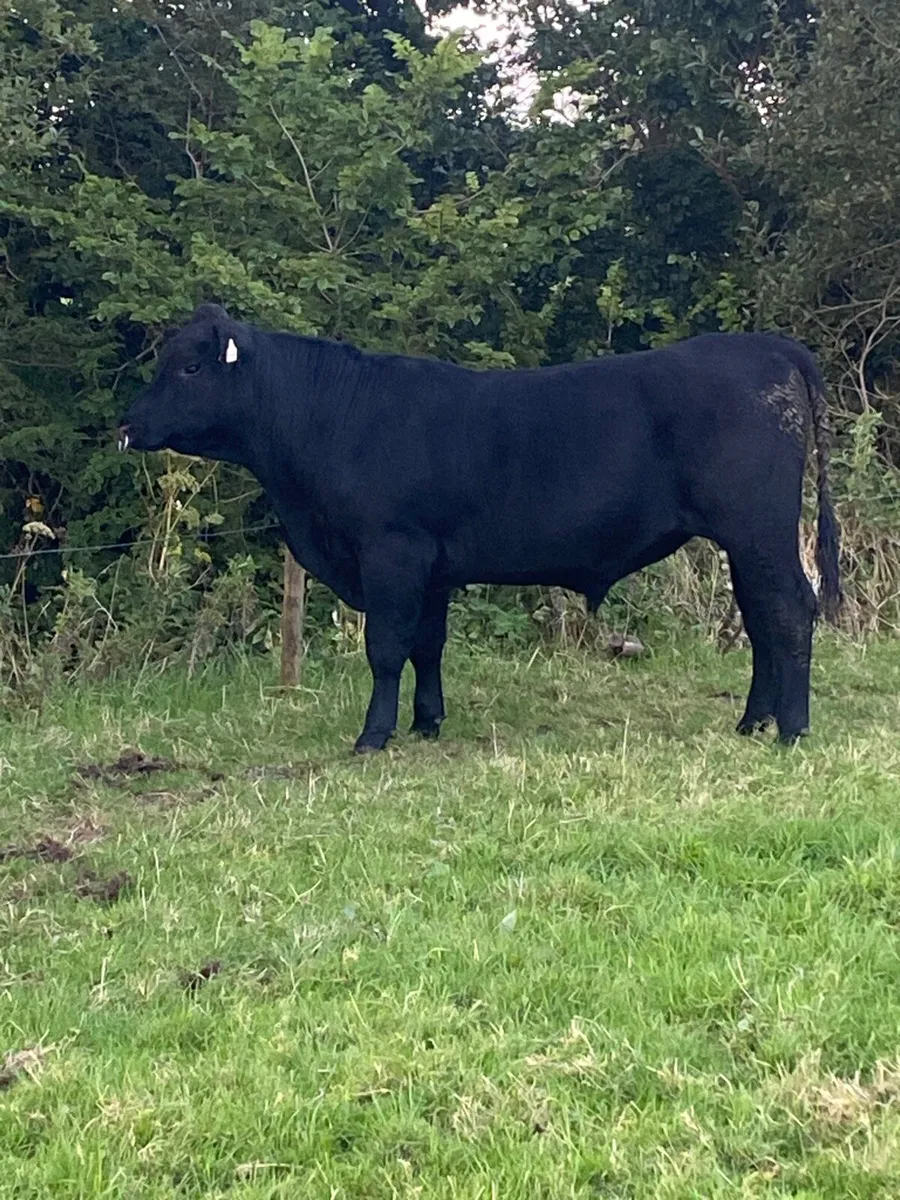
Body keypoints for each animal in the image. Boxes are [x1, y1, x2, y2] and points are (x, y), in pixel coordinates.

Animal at [119, 303, 842, 752]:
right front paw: (427, 722)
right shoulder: (431, 568)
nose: (128, 424)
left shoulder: (391, 553)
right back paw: (753, 721)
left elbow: (386, 648)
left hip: (758, 529)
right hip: (746, 540)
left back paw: (791, 730)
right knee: (760, 617)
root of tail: (767, 345)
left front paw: (373, 735)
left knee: (787, 612)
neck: (333, 417)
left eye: (189, 367)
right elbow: (426, 647)